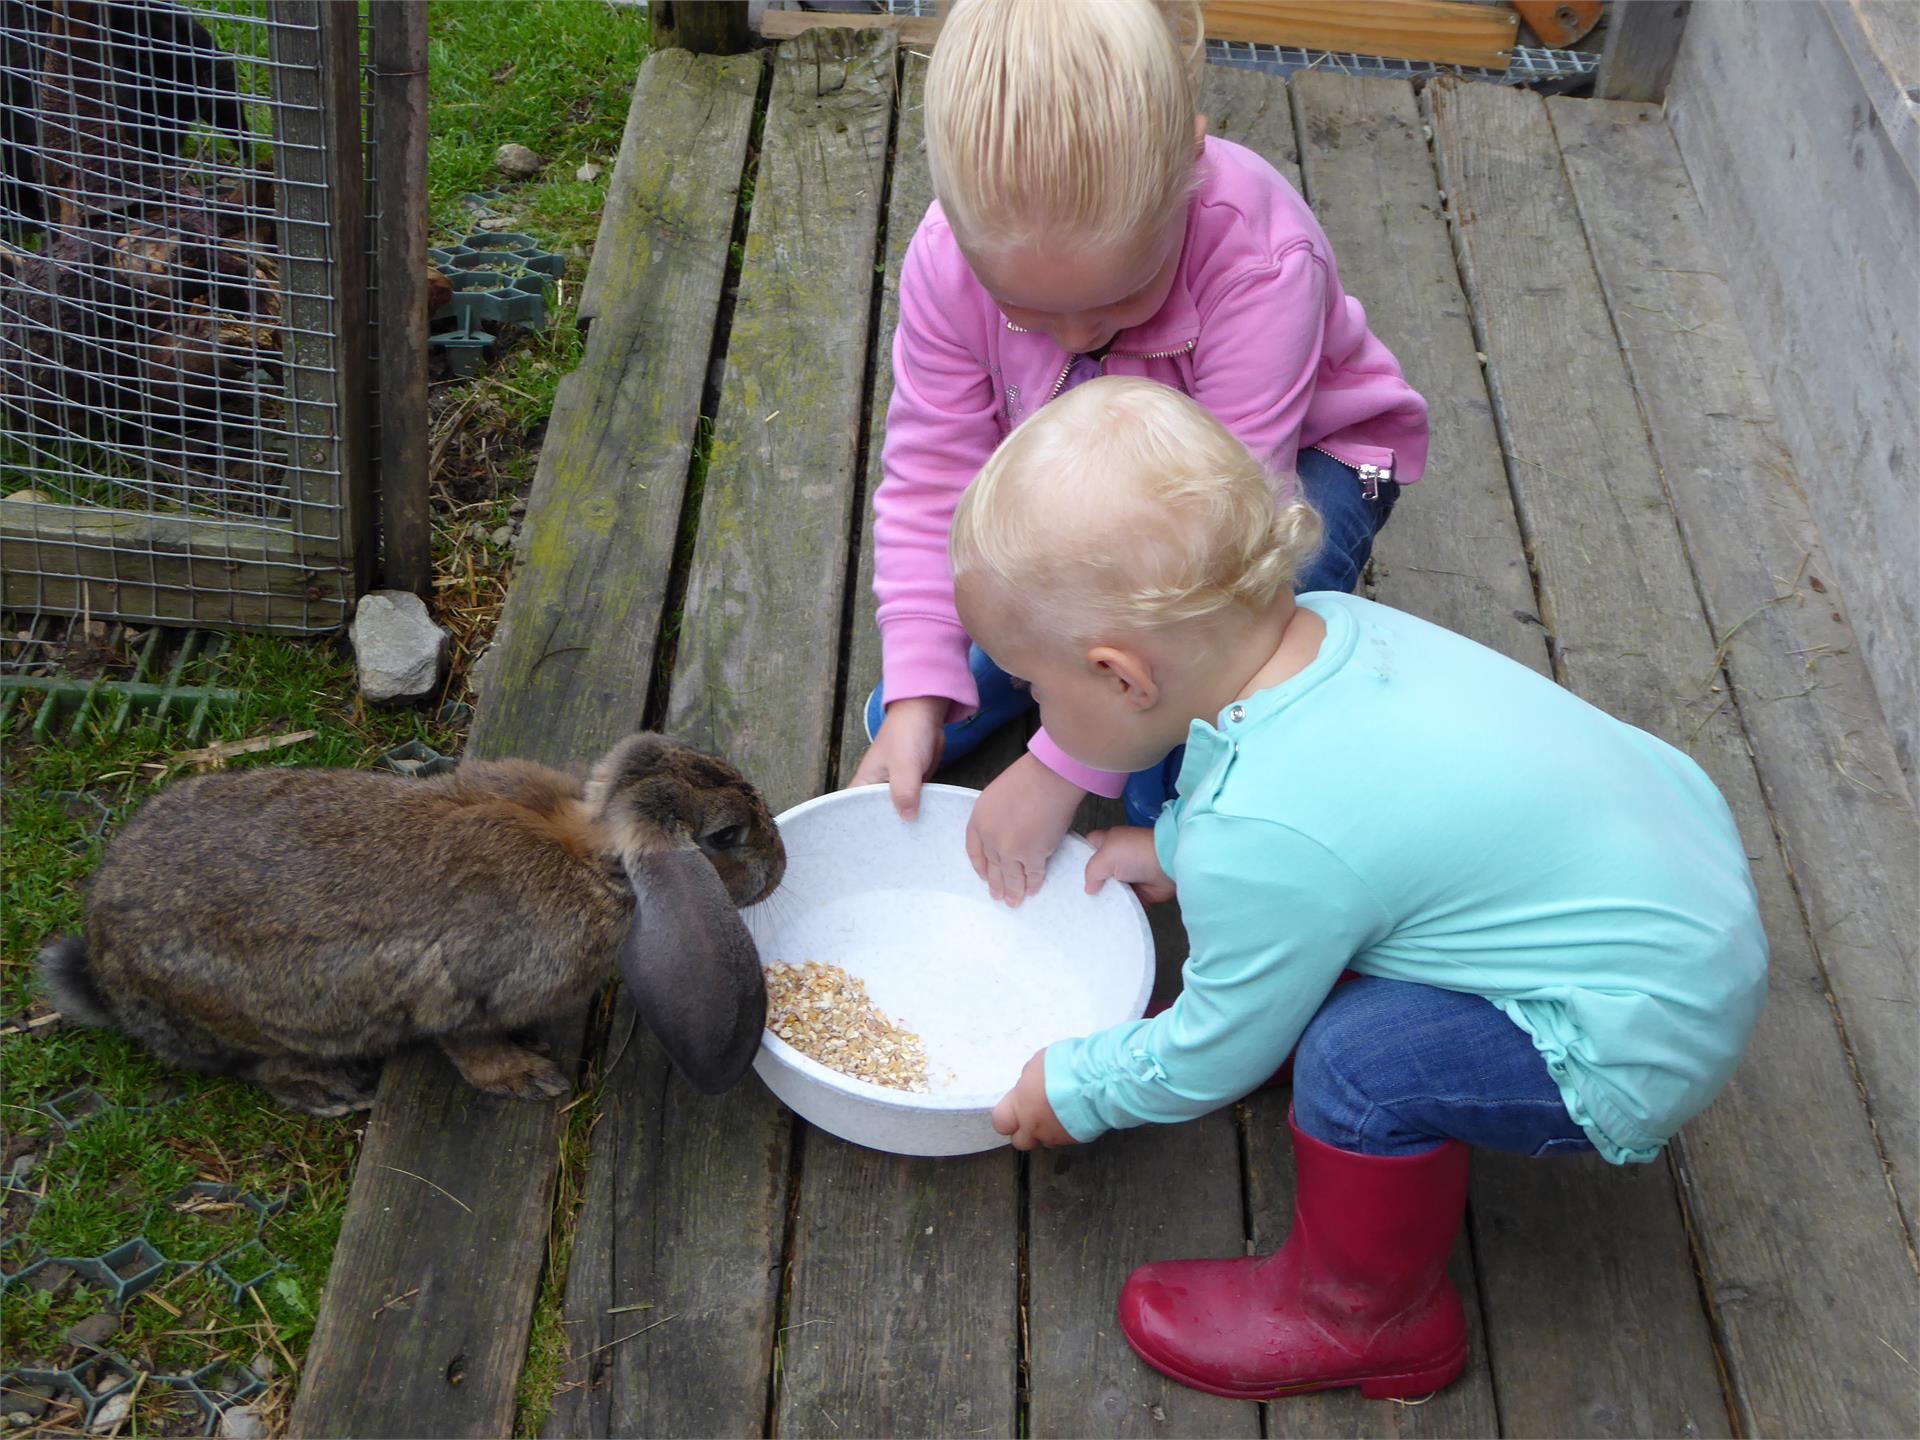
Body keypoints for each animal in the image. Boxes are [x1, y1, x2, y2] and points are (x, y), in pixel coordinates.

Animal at [33, 733, 779, 1113]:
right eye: (725, 837)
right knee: (255, 1064)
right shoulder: (465, 995)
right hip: (251, 1021)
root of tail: (102, 970)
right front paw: (526, 1075)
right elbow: (469, 1046)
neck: (591, 854)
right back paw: (328, 1089)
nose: (780, 867)